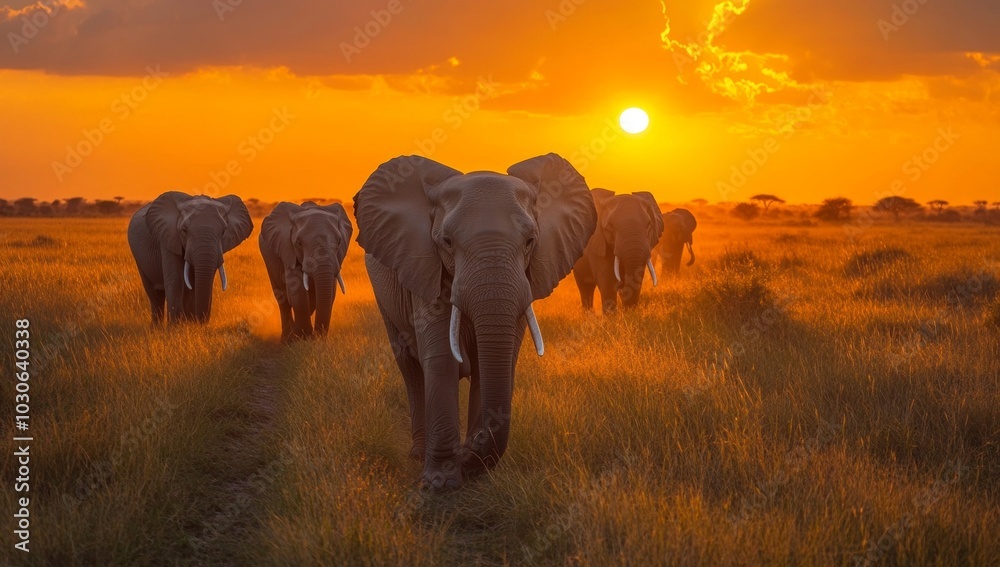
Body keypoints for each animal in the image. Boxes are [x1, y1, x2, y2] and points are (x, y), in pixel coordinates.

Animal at [127, 192, 253, 324]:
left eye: (224, 231)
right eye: (184, 230)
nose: (201, 322)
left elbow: (202, 282)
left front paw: (192, 325)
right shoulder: (168, 238)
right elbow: (176, 280)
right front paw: (176, 326)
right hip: (139, 257)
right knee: (155, 294)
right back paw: (158, 326)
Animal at [258, 201, 353, 341]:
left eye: (339, 241)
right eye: (299, 243)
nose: (317, 336)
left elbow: (331, 292)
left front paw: (313, 338)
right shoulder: (287, 251)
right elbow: (296, 291)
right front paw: (304, 338)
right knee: (282, 299)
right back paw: (287, 339)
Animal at [354, 153, 596, 489]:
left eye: (530, 241)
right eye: (447, 241)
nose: (469, 450)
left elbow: (493, 363)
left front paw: (474, 471)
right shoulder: (427, 269)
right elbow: (441, 359)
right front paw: (441, 484)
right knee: (410, 368)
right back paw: (418, 454)